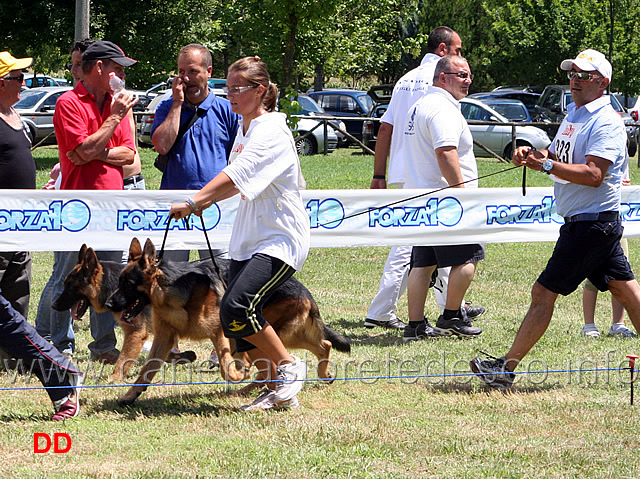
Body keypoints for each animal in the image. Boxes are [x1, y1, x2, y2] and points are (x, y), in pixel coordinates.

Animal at [50, 246, 195, 380]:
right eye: (65, 285)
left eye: (71, 288)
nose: (53, 306)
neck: (113, 285)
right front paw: (182, 356)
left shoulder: (135, 333)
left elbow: (124, 358)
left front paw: (114, 377)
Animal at [105, 238, 350, 406]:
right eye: (119, 282)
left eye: (128, 284)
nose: (108, 304)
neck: (169, 292)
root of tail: (305, 291)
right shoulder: (164, 338)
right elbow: (147, 369)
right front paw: (130, 395)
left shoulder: (220, 333)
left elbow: (225, 369)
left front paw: (238, 374)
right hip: (263, 336)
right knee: (300, 355)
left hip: (267, 333)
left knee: (317, 347)